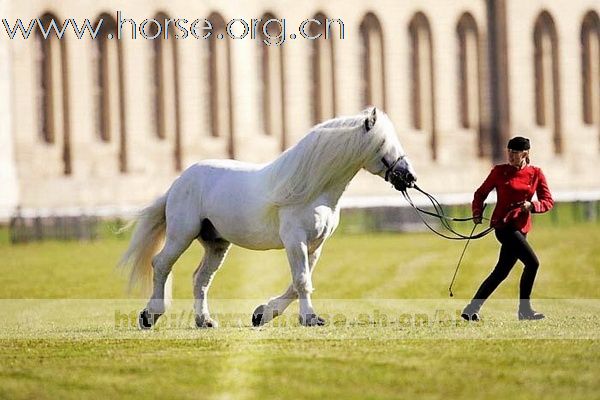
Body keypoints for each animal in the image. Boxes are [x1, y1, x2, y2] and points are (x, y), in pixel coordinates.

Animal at [118, 107, 418, 328]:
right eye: (382, 145)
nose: (410, 177)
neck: (314, 190)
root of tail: (178, 182)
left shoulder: (315, 246)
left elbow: (297, 284)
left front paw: (262, 314)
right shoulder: (295, 240)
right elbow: (302, 281)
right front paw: (310, 319)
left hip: (216, 243)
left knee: (200, 279)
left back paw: (205, 321)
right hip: (182, 234)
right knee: (161, 264)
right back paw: (149, 316)